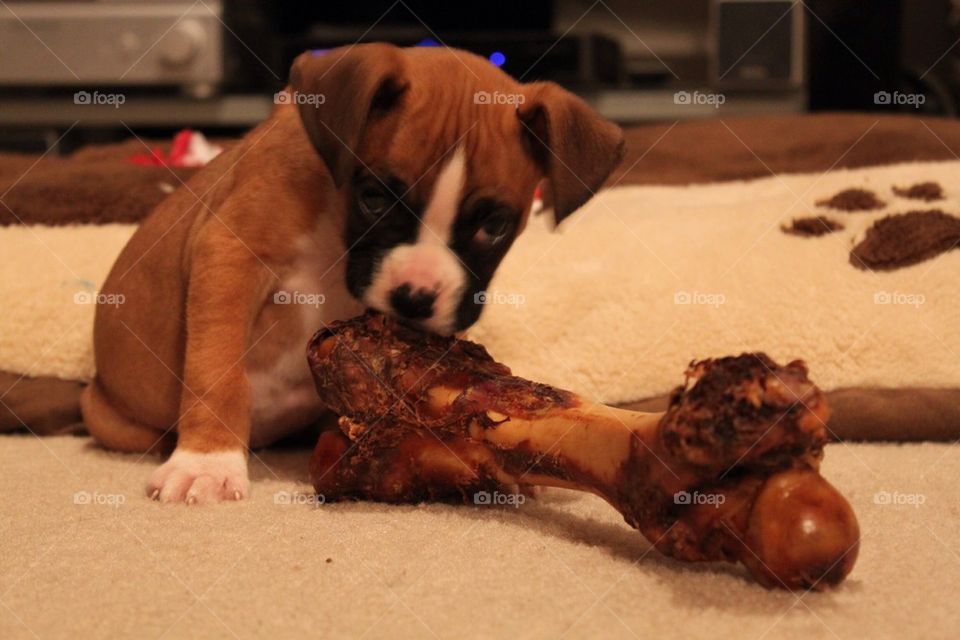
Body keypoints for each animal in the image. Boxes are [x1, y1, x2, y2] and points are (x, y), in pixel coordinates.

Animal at [80, 43, 624, 504]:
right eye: (376, 198)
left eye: (495, 225)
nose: (415, 298)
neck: (337, 224)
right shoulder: (229, 256)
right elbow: (217, 369)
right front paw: (207, 462)